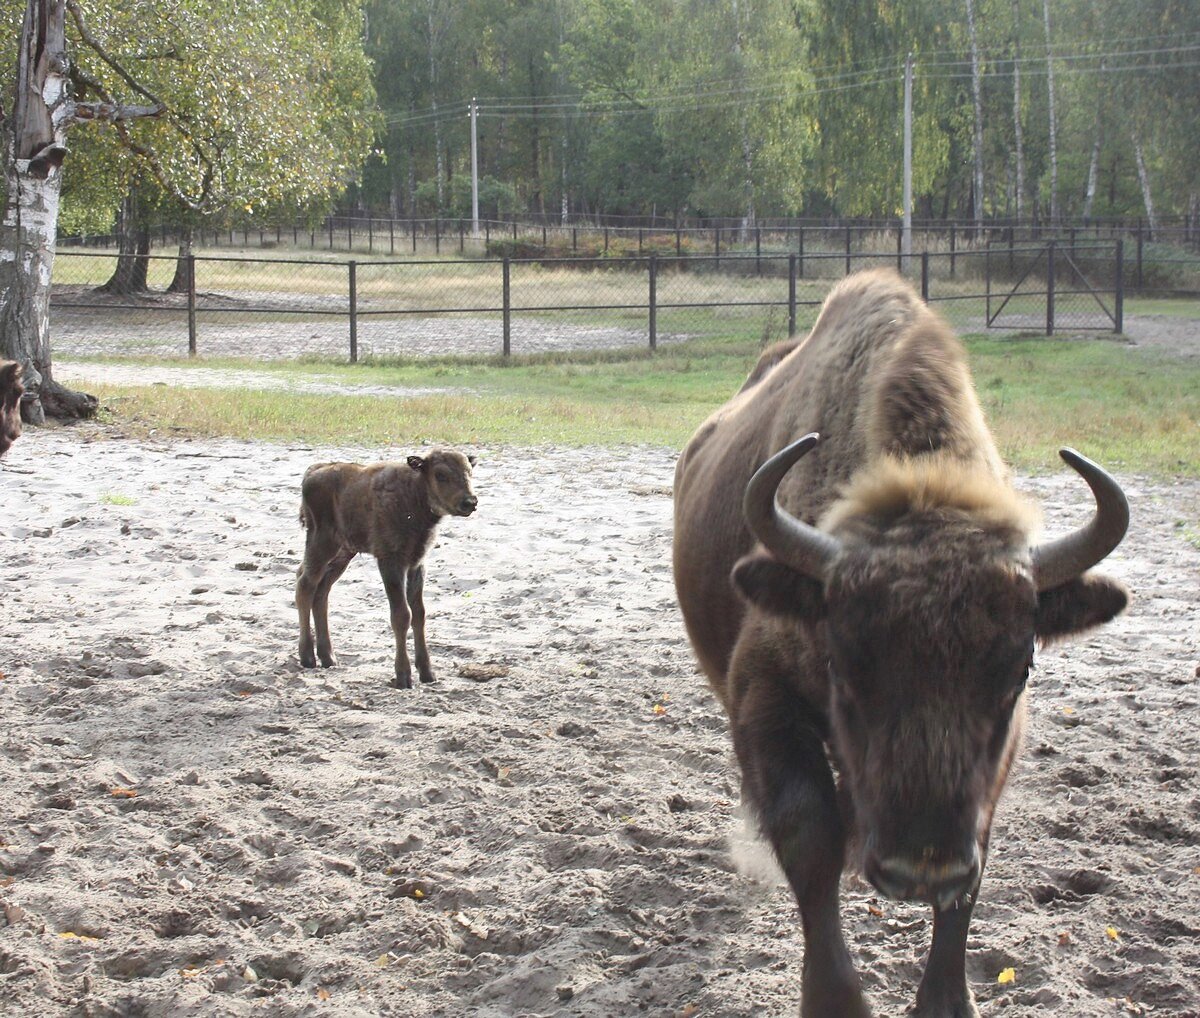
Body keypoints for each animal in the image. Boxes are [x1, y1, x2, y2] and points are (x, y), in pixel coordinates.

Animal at [295, 448, 477, 686]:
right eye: (440, 474)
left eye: (470, 471)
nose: (470, 502)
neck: (414, 493)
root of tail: (313, 471)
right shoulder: (391, 562)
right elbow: (401, 615)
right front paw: (403, 676)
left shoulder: (416, 564)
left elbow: (419, 613)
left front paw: (428, 673)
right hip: (322, 543)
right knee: (305, 585)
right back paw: (307, 657)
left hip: (343, 553)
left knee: (321, 591)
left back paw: (328, 657)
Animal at [672, 266, 1128, 1013]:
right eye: (842, 660)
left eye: (1020, 667)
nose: (920, 867)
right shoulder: (764, 692)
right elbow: (811, 837)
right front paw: (834, 998)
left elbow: (975, 863)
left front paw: (947, 1000)